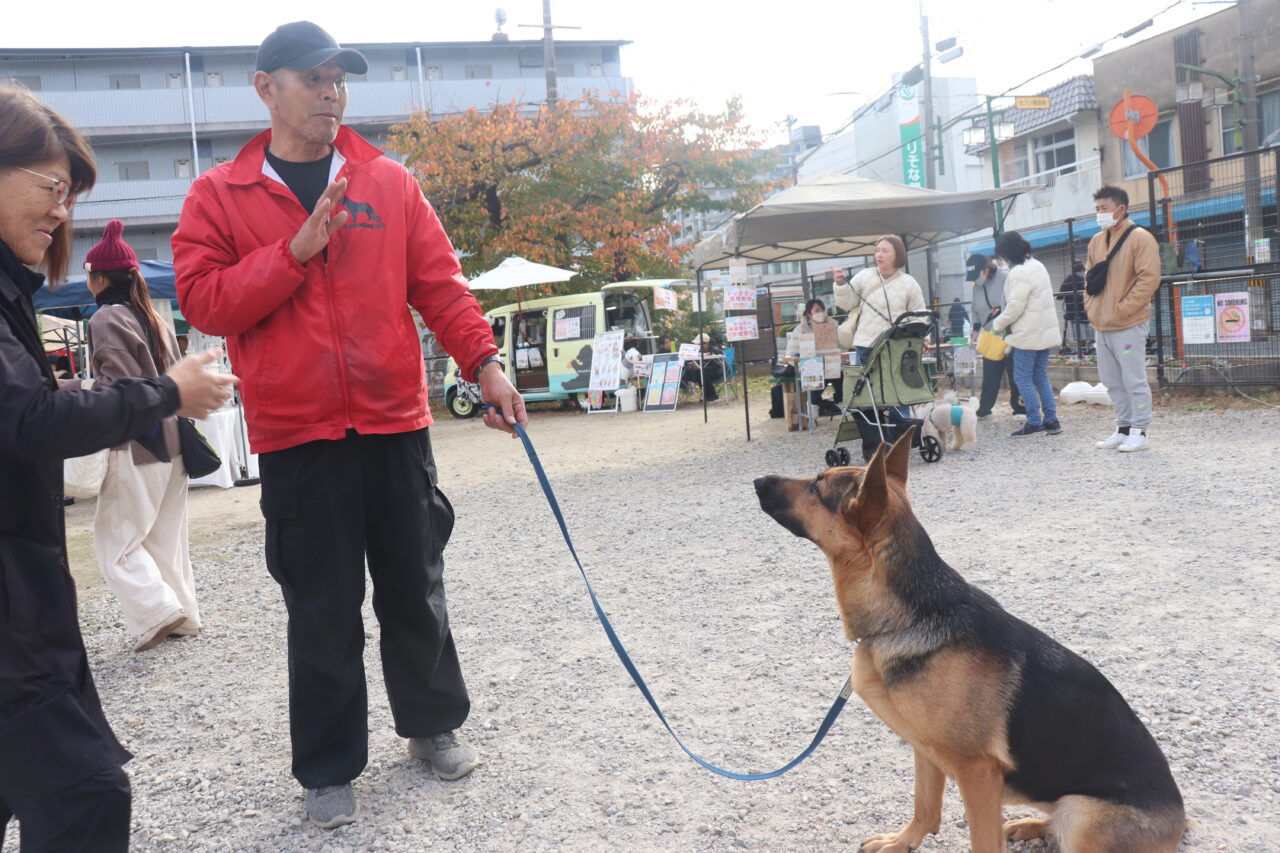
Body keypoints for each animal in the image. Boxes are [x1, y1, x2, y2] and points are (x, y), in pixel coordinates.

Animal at [752, 432, 1182, 850]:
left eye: (816, 487)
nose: (757, 480)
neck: (912, 615)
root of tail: (1180, 821)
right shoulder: (924, 748)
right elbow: (925, 808)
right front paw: (902, 842)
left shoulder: (978, 774)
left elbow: (981, 841)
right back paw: (1029, 825)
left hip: (1082, 812)